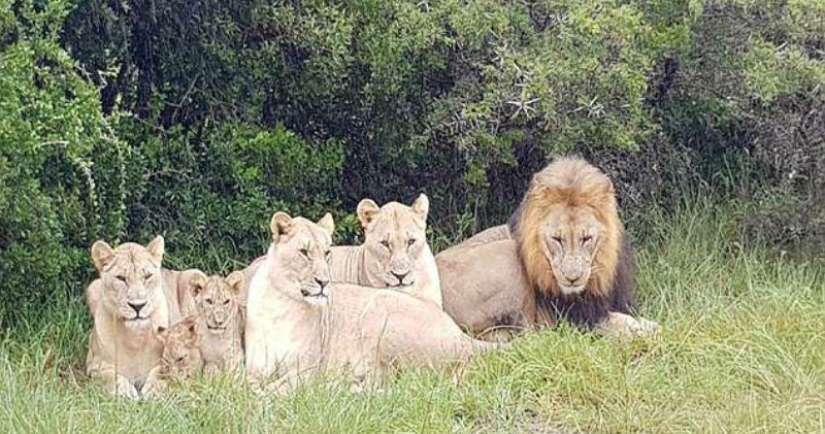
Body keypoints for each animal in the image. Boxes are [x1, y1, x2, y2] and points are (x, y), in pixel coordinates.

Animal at [244, 212, 498, 391]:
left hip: (378, 311)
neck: (280, 304)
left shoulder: (307, 368)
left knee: (390, 381)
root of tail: (461, 334)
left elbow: (276, 389)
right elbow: (245, 387)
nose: (324, 282)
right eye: (304, 252)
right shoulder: (254, 367)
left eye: (327, 253)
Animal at [437, 156, 659, 340]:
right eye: (557, 239)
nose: (572, 278)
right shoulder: (575, 318)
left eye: (586, 238)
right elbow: (622, 323)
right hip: (508, 254)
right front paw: (643, 331)